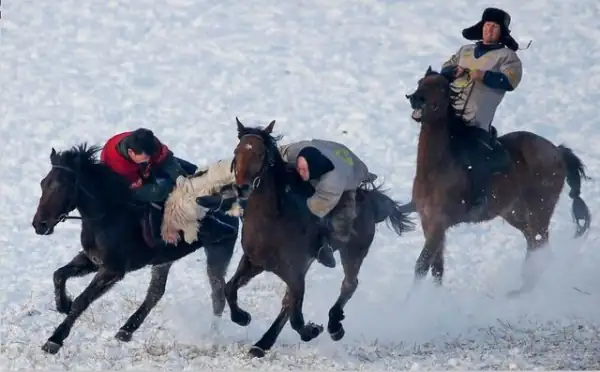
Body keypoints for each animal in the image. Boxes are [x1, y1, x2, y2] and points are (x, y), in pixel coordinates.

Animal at [29, 143, 237, 354]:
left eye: (61, 185)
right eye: (43, 183)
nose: (40, 225)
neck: (109, 213)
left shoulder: (113, 270)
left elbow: (82, 300)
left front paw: (54, 340)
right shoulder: (92, 260)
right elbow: (59, 275)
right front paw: (63, 304)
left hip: (219, 249)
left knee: (217, 295)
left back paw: (210, 336)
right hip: (164, 260)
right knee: (155, 293)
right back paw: (126, 330)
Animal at [200, 119, 412, 358]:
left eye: (261, 154)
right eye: (237, 151)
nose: (241, 188)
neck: (273, 220)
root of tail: (371, 199)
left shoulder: (295, 272)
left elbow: (296, 316)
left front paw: (312, 330)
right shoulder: (254, 262)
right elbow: (230, 288)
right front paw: (243, 317)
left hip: (354, 250)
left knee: (349, 284)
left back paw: (334, 326)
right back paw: (262, 344)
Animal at [404, 65, 592, 294]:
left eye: (440, 87)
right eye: (420, 82)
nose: (415, 98)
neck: (436, 168)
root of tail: (557, 151)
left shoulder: (438, 224)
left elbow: (422, 265)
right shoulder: (429, 222)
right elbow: (436, 269)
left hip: (539, 211)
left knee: (540, 245)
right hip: (515, 213)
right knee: (534, 244)